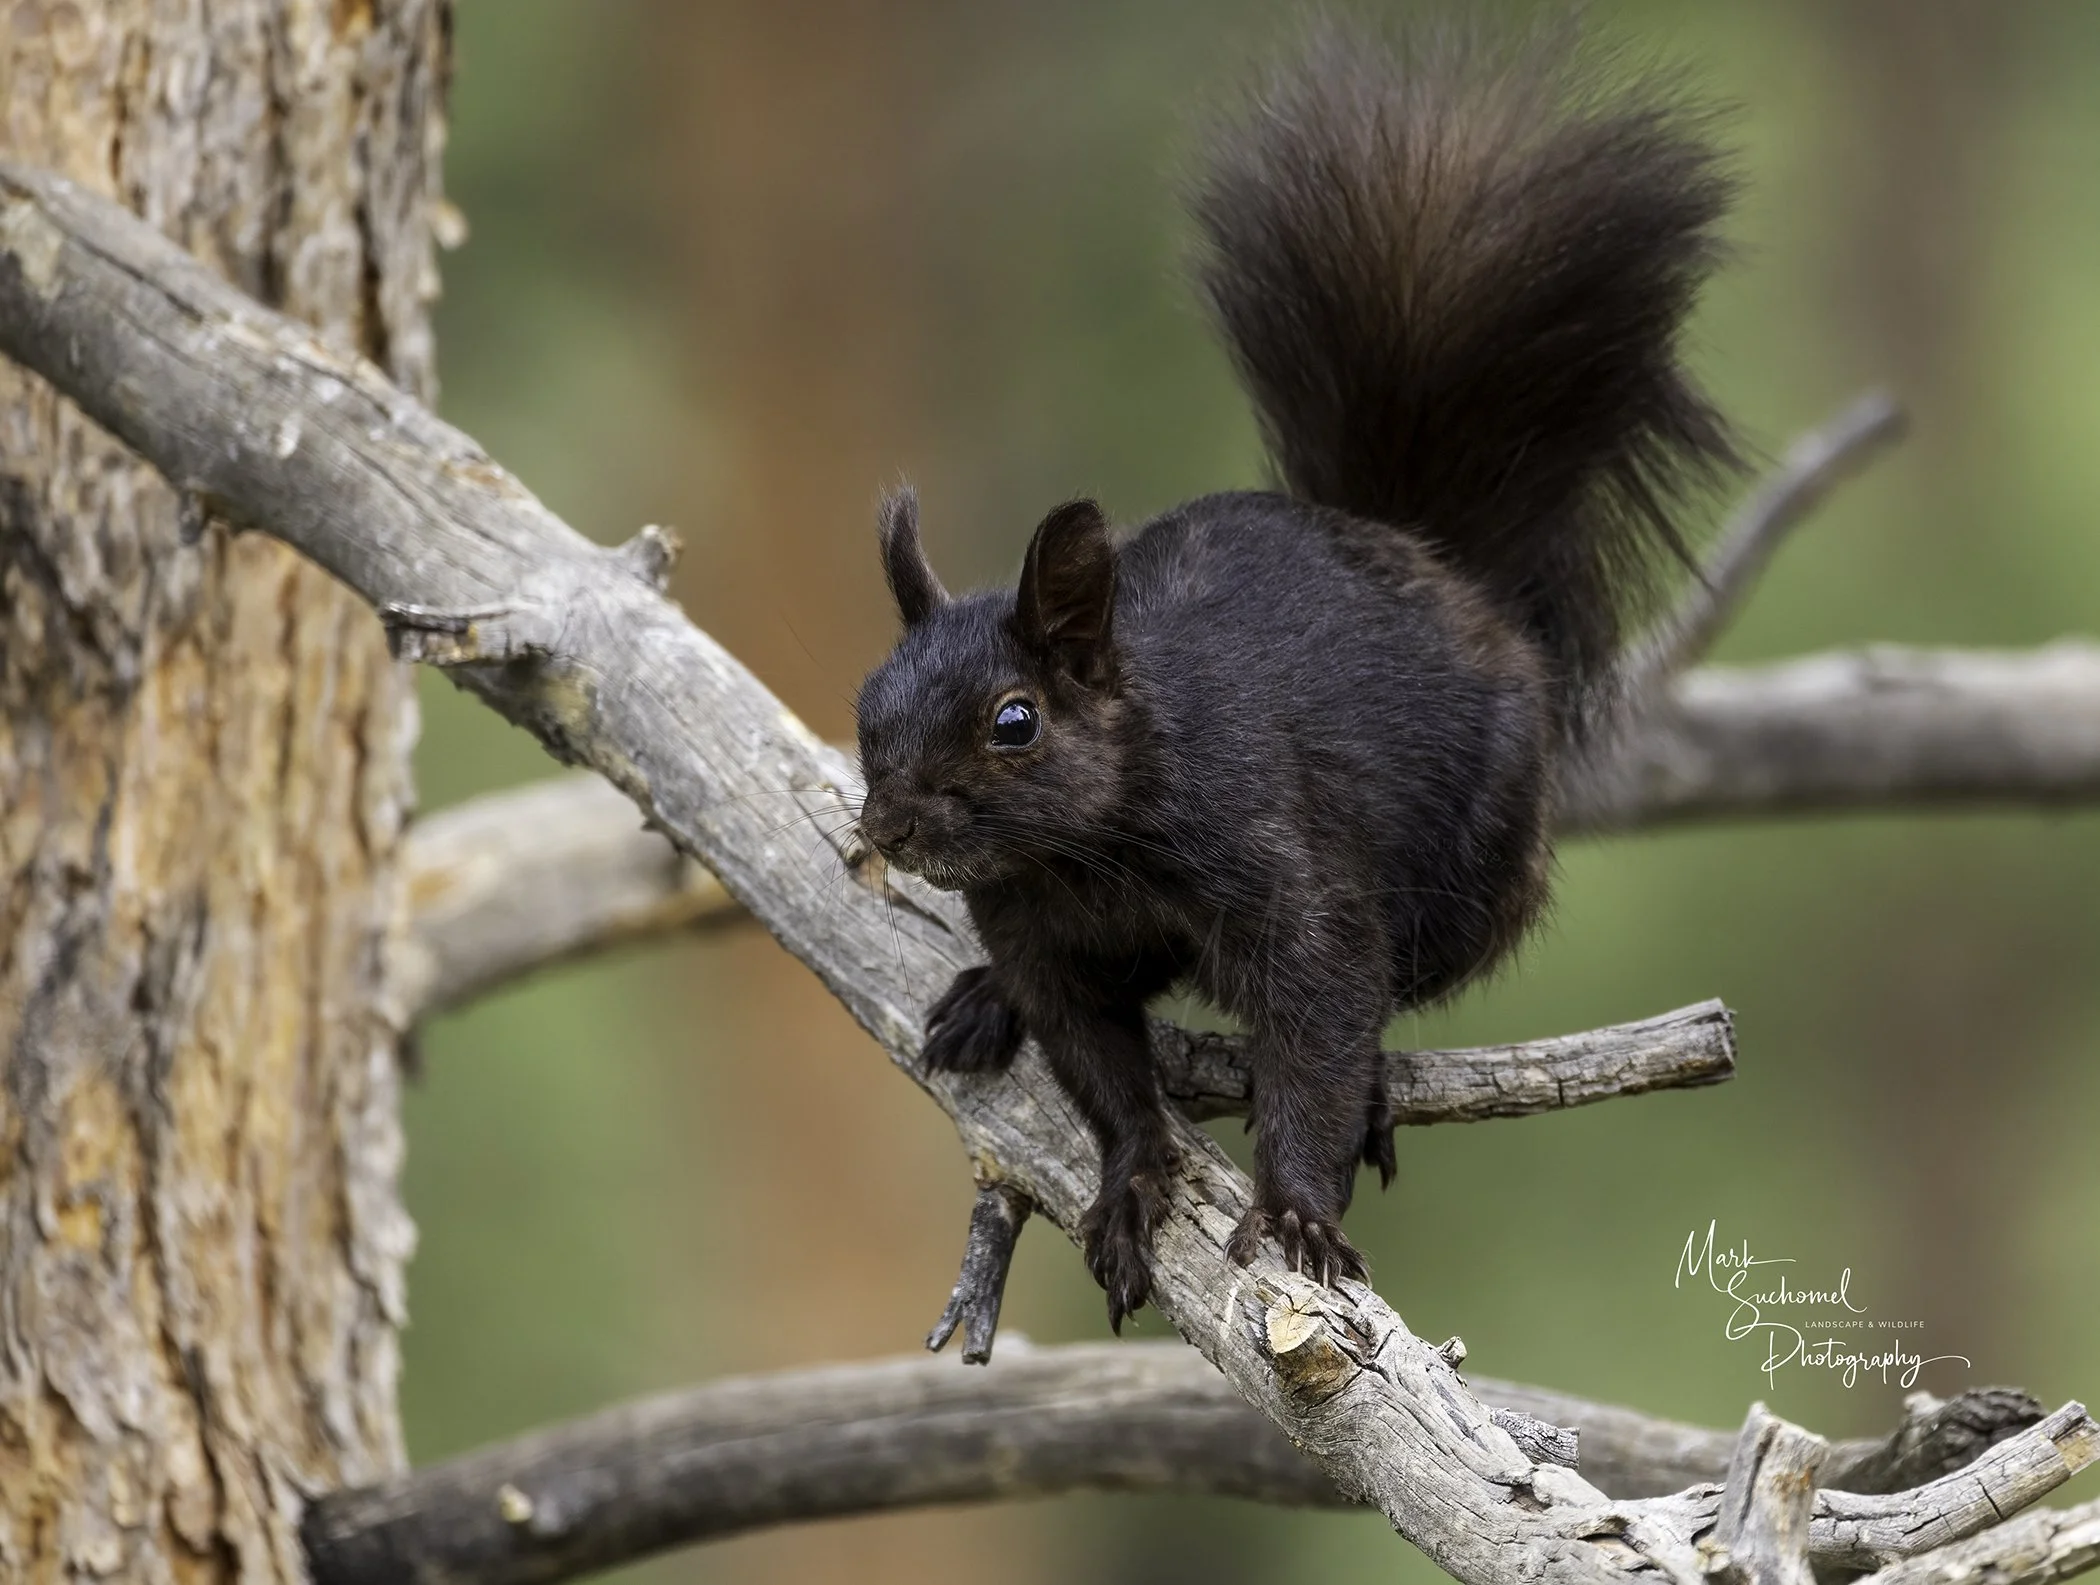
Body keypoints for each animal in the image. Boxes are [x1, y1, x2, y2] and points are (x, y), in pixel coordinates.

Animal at [852, 20, 1739, 1329]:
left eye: (1016, 721)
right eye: (866, 708)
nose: (892, 824)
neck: (1089, 853)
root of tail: (1440, 572)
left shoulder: (1288, 871)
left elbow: (1321, 1022)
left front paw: (1298, 1212)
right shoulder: (1039, 934)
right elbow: (1099, 1068)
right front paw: (1132, 1177)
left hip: (1478, 867)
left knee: (1405, 977)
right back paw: (984, 1002)